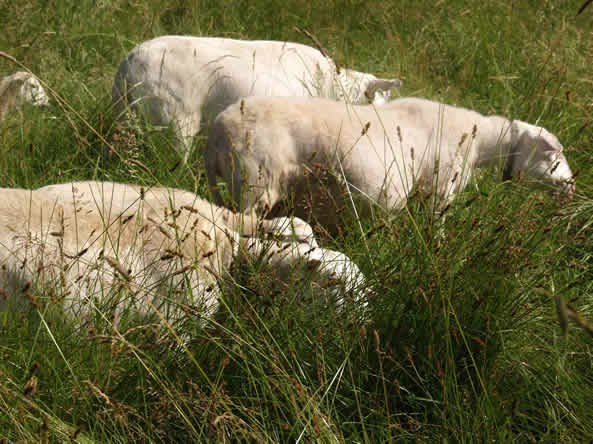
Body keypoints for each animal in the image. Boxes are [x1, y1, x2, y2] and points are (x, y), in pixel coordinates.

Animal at [204, 97, 572, 229]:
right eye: (554, 154)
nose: (571, 187)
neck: (479, 140)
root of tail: (217, 134)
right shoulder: (440, 190)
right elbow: (437, 228)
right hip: (256, 183)